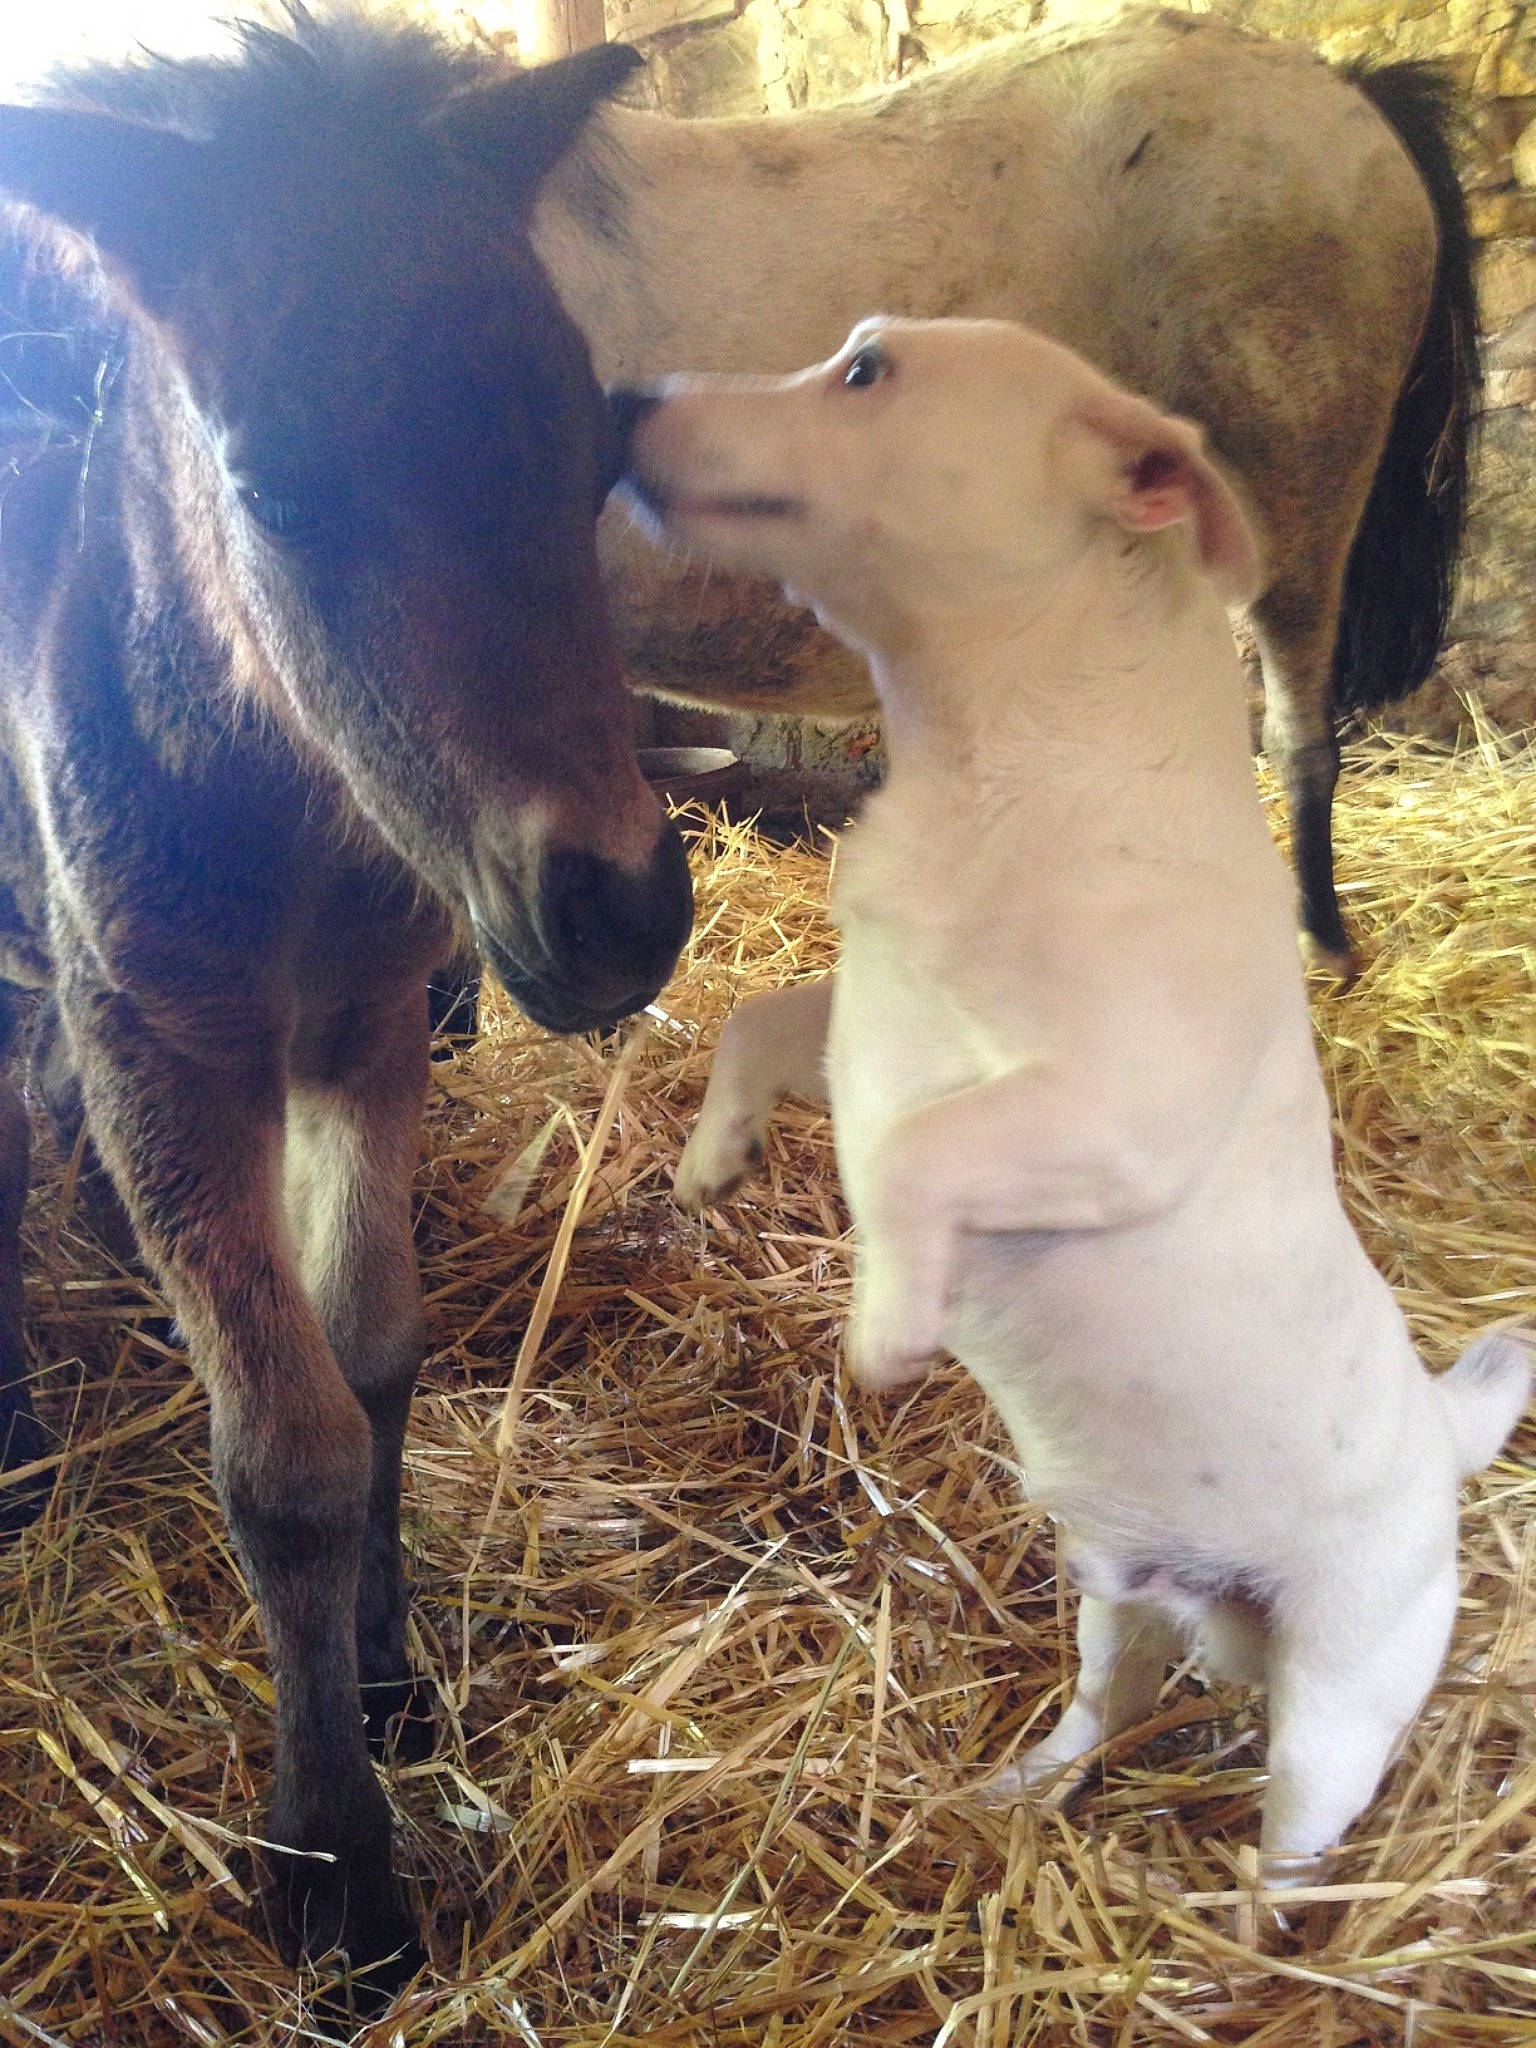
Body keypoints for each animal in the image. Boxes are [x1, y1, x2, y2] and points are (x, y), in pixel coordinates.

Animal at [0, 8, 691, 1995]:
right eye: (280, 489)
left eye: (594, 452)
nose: (623, 909)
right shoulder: (167, 1047)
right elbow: (287, 1449)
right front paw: (334, 1868)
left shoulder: (375, 1023)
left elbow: (373, 1344)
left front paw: (384, 1672)